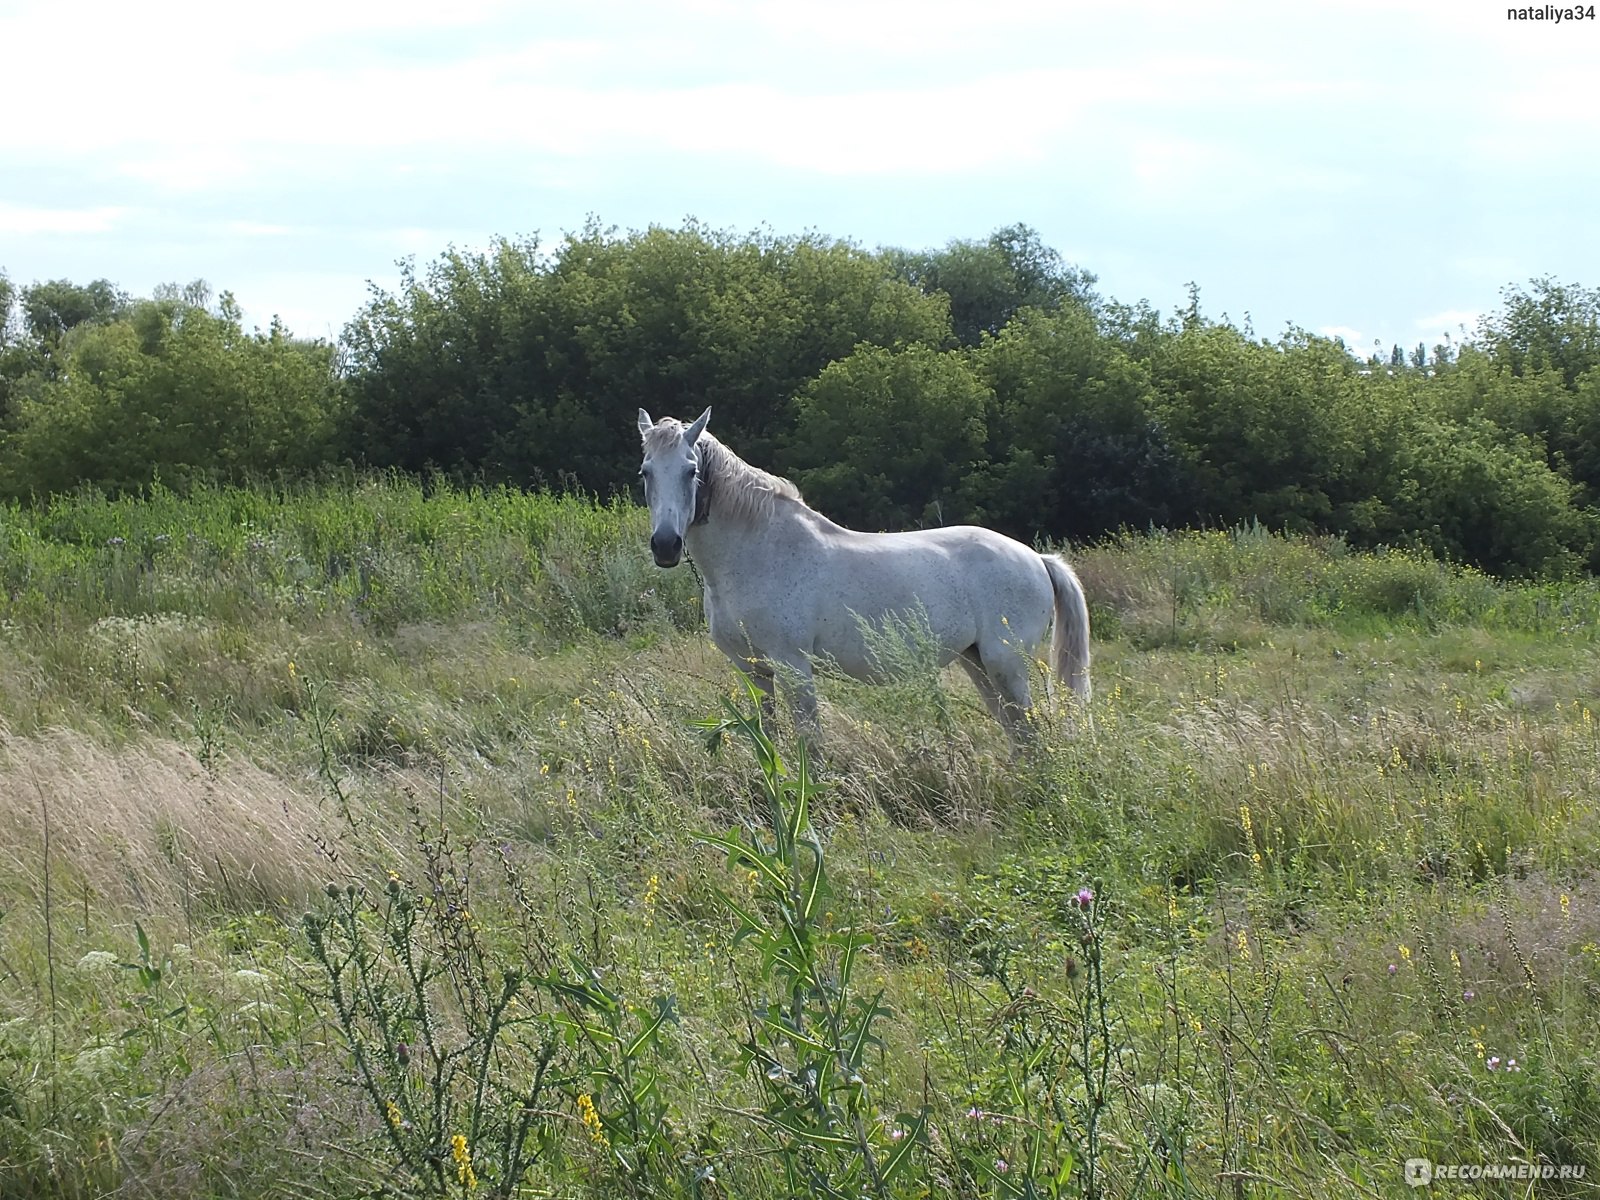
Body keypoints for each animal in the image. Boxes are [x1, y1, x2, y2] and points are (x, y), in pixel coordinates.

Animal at [636, 409, 1088, 742]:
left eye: (691, 471)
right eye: (645, 472)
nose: (666, 545)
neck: (759, 551)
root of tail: (1035, 558)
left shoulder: (793, 667)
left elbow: (810, 745)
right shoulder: (754, 671)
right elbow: (769, 739)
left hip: (1006, 666)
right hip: (978, 664)